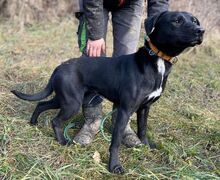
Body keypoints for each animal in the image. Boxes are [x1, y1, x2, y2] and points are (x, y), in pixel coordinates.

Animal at [11, 10, 205, 173]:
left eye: (194, 20)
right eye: (177, 21)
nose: (201, 30)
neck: (157, 60)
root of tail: (59, 67)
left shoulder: (144, 108)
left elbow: (142, 129)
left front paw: (146, 146)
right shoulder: (124, 110)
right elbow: (115, 142)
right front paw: (114, 166)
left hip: (65, 99)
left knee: (41, 103)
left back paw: (33, 123)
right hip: (71, 103)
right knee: (55, 120)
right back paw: (62, 141)